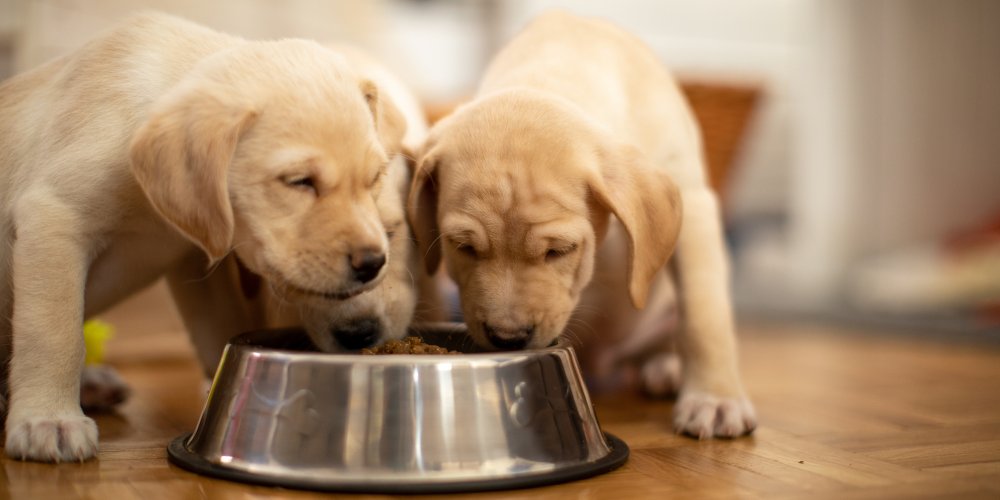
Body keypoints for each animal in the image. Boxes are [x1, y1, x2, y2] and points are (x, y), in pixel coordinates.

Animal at [1, 11, 406, 462]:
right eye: (300, 182)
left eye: (374, 178)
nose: (372, 263)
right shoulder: (54, 218)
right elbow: (55, 333)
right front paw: (48, 419)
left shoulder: (194, 258)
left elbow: (220, 327)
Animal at [410, 10, 752, 438]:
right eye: (463, 247)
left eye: (559, 250)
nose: (508, 338)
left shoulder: (691, 201)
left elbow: (704, 316)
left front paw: (714, 399)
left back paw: (665, 366)